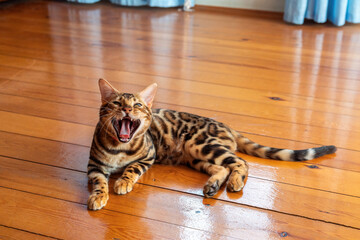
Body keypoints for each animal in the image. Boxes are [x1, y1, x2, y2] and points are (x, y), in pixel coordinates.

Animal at [88, 79, 338, 210]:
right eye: (117, 103)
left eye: (138, 105)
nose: (127, 109)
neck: (119, 149)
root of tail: (225, 124)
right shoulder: (94, 165)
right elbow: (100, 181)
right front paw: (99, 196)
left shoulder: (148, 156)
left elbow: (132, 168)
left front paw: (123, 182)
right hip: (195, 157)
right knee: (223, 167)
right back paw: (213, 185)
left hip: (200, 144)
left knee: (240, 162)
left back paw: (235, 182)